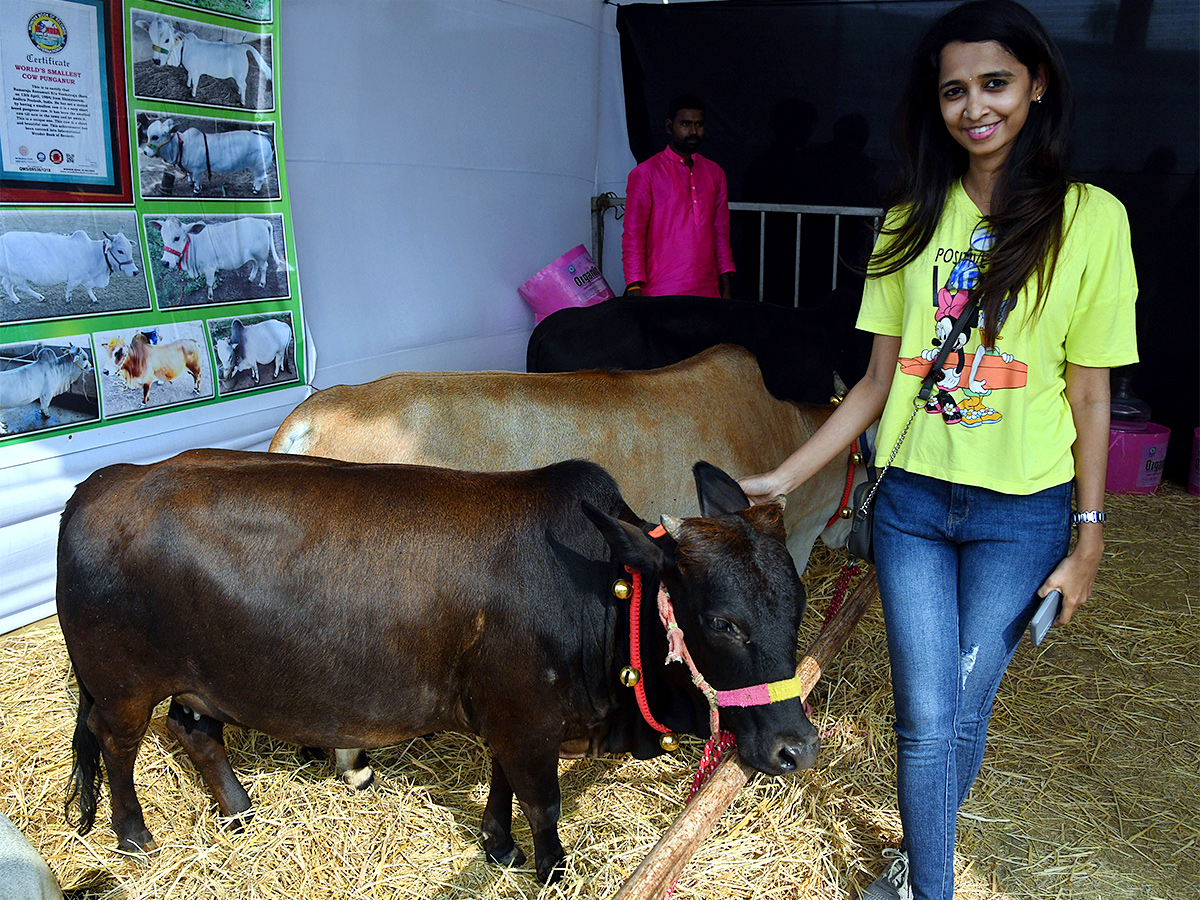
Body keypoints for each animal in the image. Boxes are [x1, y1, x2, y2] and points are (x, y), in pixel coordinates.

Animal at [60, 451, 820, 883]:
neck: (599, 596)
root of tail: (98, 484)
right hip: (122, 686)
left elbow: (503, 786)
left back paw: (239, 810)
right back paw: (134, 836)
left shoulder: (513, 719)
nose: (796, 748)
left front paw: (499, 847)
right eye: (722, 622)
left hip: (198, 682)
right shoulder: (527, 721)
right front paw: (549, 871)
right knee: (114, 744)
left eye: (799, 601)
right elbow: (543, 803)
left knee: (196, 732)